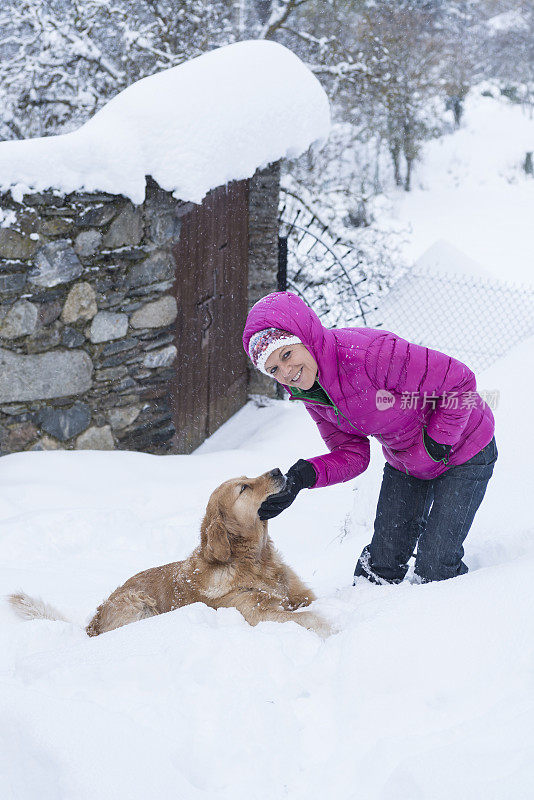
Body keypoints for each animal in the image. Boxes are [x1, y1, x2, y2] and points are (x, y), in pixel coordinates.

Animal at [8, 472, 332, 640]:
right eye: (244, 488)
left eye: (247, 478)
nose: (278, 470)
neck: (254, 560)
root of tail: (91, 626)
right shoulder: (254, 613)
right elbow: (309, 617)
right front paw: (332, 628)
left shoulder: (299, 593)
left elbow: (311, 603)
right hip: (137, 602)